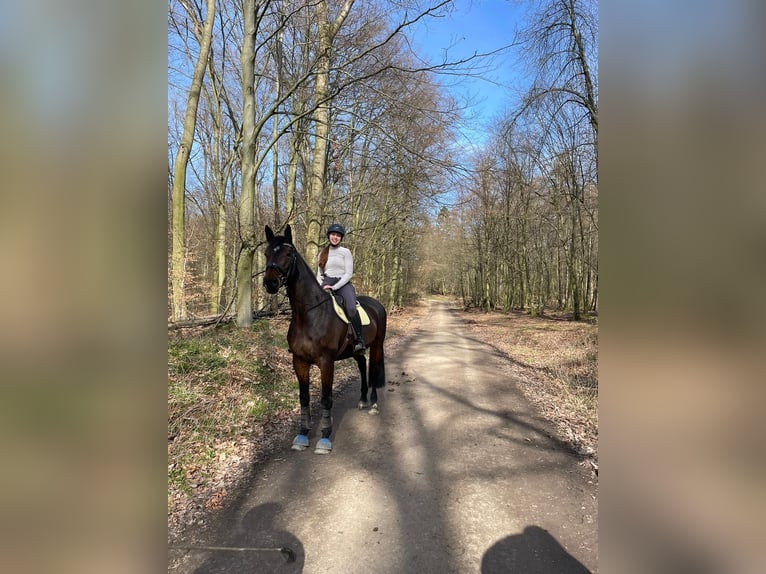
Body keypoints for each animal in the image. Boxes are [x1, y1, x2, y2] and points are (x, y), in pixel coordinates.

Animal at [262, 225, 388, 454]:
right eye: (267, 253)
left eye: (288, 254)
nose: (270, 283)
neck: (309, 314)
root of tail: (377, 305)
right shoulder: (299, 361)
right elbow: (303, 398)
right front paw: (303, 435)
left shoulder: (326, 362)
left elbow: (326, 398)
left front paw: (324, 437)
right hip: (355, 350)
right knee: (362, 364)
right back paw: (362, 400)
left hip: (377, 345)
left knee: (373, 369)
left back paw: (373, 404)